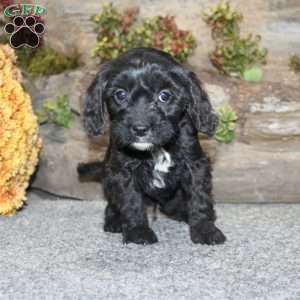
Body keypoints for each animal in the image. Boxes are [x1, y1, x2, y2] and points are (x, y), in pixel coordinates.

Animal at [78, 46, 226, 244]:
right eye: (120, 94)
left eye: (165, 96)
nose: (140, 129)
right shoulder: (122, 170)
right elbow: (131, 200)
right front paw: (138, 232)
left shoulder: (194, 164)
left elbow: (199, 197)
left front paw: (205, 229)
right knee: (111, 205)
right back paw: (114, 221)